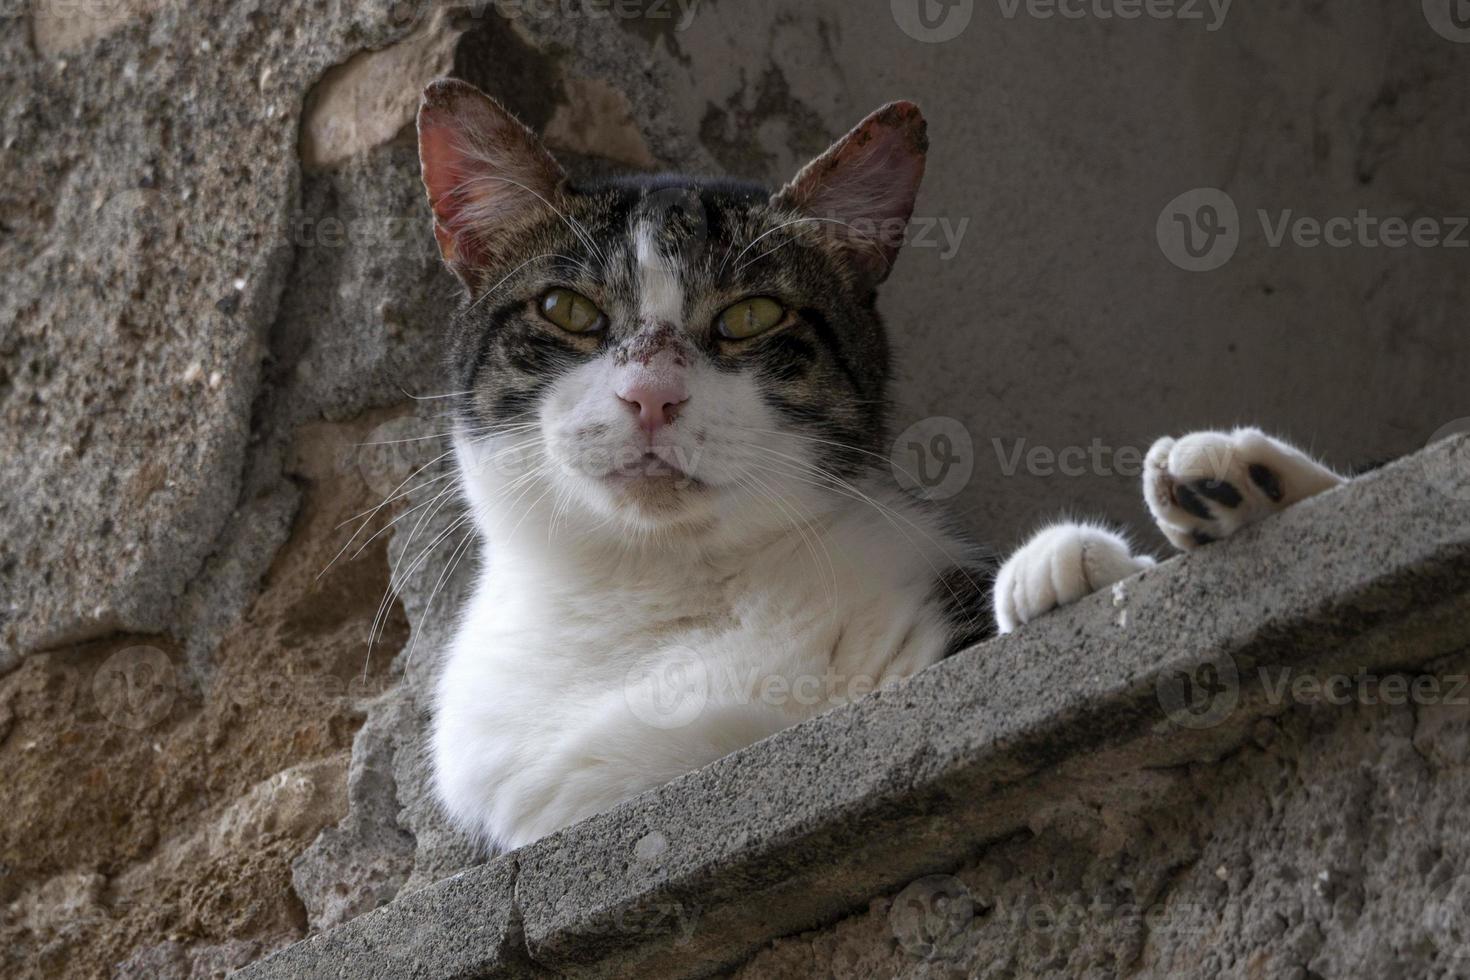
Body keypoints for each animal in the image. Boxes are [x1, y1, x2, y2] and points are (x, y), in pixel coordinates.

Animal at [411, 78, 1346, 852]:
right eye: (567, 309)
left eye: (751, 315)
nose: (651, 396)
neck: (670, 594)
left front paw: (1064, 571)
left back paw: (1230, 482)